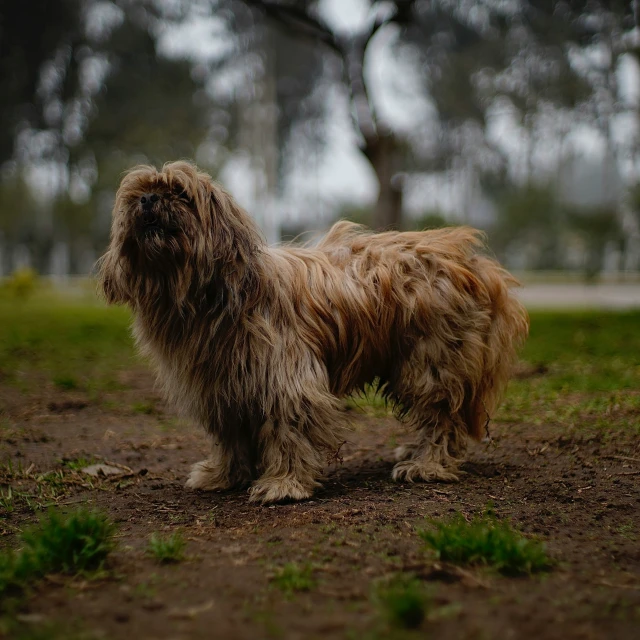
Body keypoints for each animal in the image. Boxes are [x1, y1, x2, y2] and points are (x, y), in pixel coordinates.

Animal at [99, 161, 528, 504]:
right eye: (140, 193)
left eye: (180, 193)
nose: (148, 200)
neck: (205, 299)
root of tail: (471, 262)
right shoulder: (221, 387)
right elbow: (231, 435)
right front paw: (224, 475)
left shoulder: (286, 378)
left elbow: (288, 428)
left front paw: (284, 484)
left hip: (431, 361)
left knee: (441, 415)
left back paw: (427, 463)